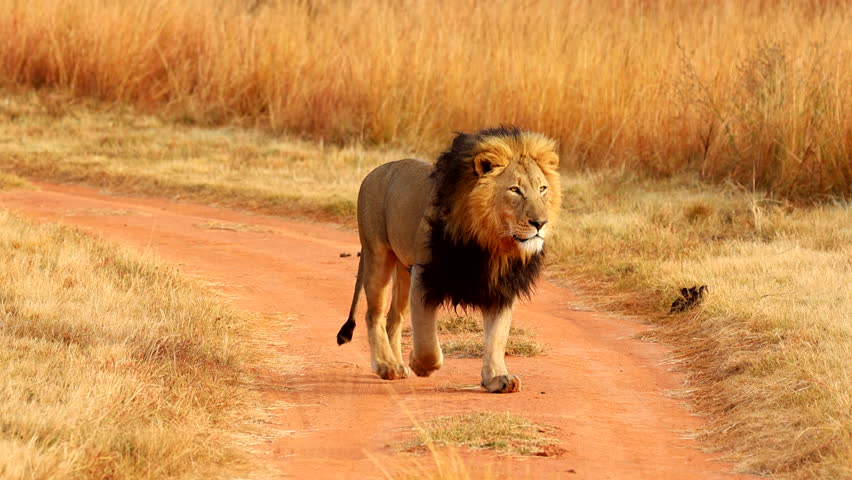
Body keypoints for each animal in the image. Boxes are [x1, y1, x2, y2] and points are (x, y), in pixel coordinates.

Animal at [335, 127, 560, 393]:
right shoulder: (424, 275)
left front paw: (497, 378)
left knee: (394, 318)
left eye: (542, 189)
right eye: (515, 190)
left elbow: (497, 337)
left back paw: (396, 364)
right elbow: (427, 342)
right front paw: (421, 365)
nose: (540, 223)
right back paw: (386, 366)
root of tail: (374, 172)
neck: (491, 243)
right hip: (377, 255)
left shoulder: (500, 287)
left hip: (403, 269)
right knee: (375, 314)